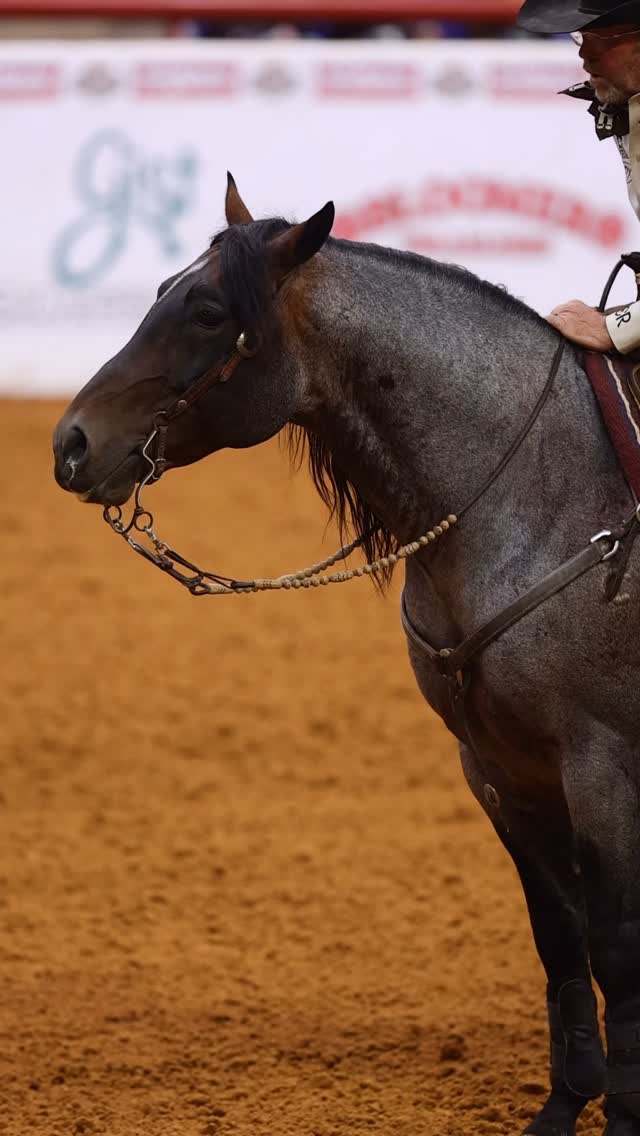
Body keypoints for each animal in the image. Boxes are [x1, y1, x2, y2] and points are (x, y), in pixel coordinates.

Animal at [53, 174, 640, 1136]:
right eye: (160, 291)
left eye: (208, 308)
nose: (70, 444)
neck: (542, 492)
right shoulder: (498, 769)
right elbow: (560, 936)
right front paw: (563, 1106)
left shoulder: (602, 764)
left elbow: (615, 940)